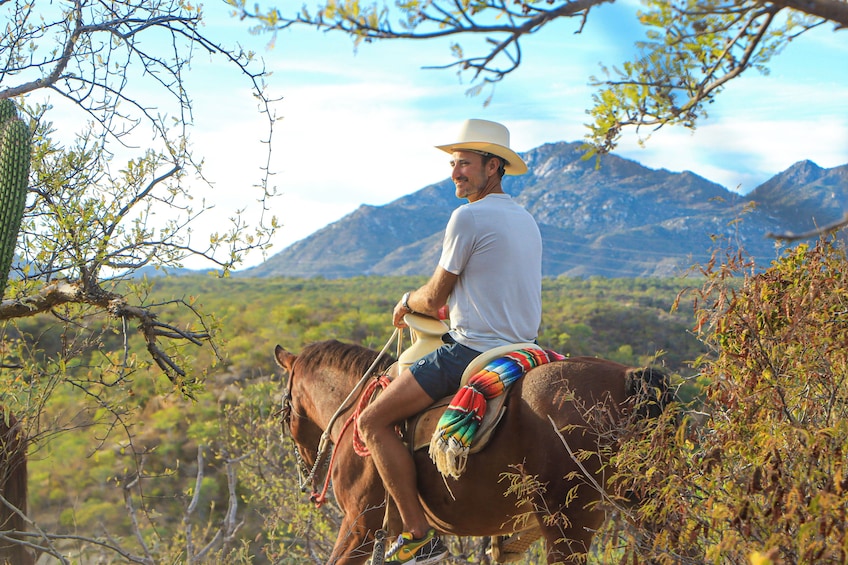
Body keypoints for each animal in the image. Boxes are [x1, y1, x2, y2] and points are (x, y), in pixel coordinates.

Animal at [276, 338, 668, 560]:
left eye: (283, 410)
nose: (308, 474)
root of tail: (629, 378)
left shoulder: (360, 526)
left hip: (567, 522)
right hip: (644, 511)